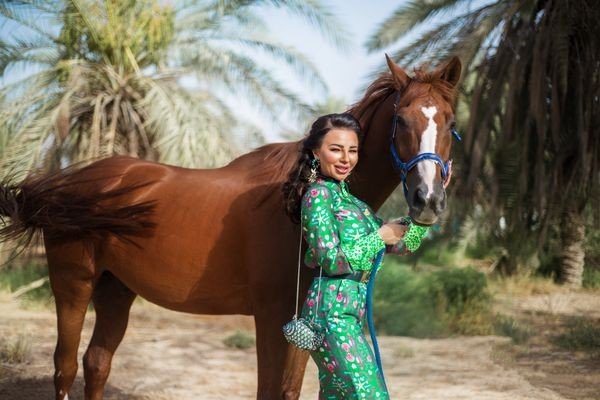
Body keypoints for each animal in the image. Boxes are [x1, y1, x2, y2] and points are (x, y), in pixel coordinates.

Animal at [0, 55, 462, 396]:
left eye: (451, 123)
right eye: (401, 121)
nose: (427, 200)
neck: (296, 196)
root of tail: (69, 182)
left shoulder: (303, 322)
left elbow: (289, 390)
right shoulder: (273, 317)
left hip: (116, 288)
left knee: (97, 363)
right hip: (73, 284)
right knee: (64, 368)